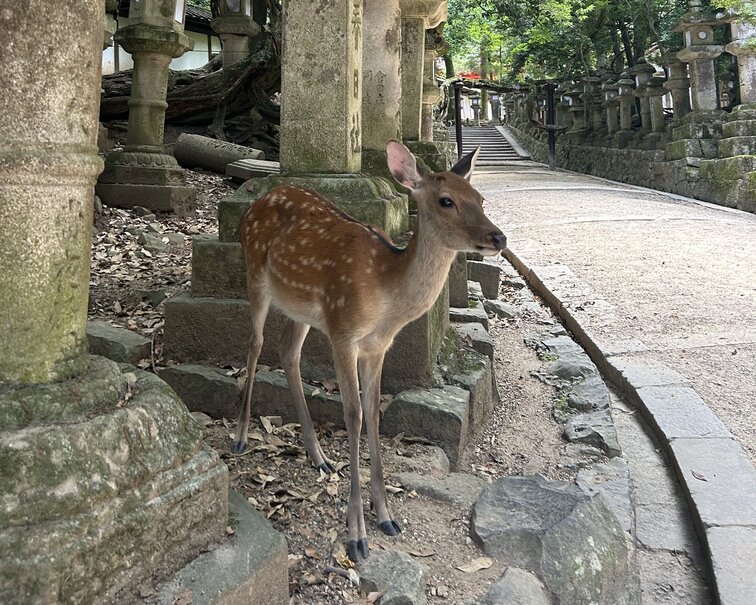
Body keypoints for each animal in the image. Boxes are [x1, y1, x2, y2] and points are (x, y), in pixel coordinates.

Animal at [235, 139, 508, 560]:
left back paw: (320, 457)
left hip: (302, 308)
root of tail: (255, 205)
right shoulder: (343, 334)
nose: (498, 238)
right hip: (254, 273)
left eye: (480, 198)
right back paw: (242, 436)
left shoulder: (378, 346)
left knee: (287, 351)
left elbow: (374, 412)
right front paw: (356, 536)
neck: (385, 296)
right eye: (446, 200)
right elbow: (353, 416)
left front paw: (386, 517)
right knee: (255, 344)